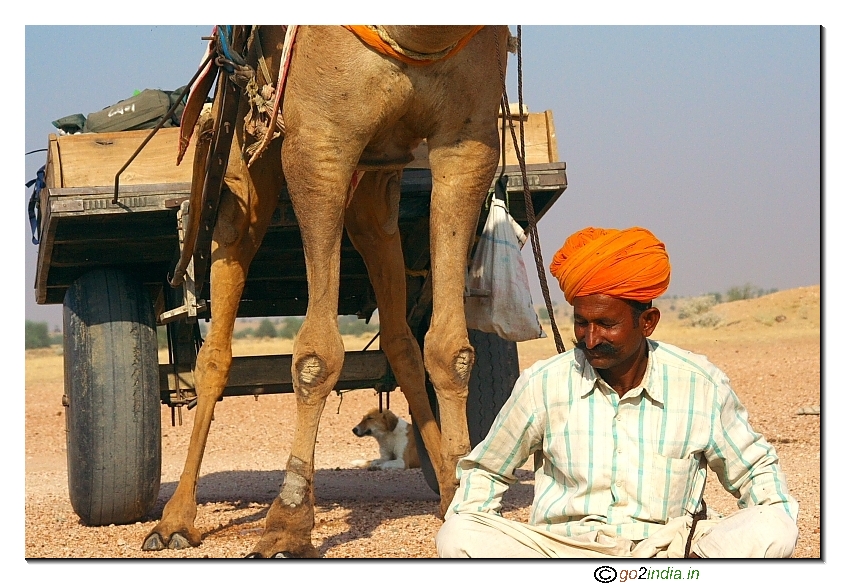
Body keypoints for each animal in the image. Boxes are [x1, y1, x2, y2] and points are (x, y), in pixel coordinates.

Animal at [143, 25, 510, 558]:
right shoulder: (320, 145)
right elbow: (316, 356)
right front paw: (287, 524)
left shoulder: (468, 138)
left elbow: (450, 349)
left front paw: (463, 503)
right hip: (243, 165)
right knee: (215, 345)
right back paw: (173, 520)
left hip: (374, 193)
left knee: (400, 338)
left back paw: (443, 480)